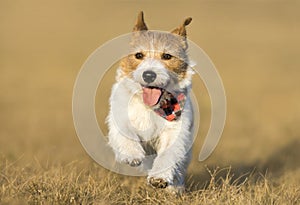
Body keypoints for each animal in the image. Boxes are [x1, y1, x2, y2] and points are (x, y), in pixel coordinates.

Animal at [105, 10, 195, 191]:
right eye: (139, 55)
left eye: (167, 56)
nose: (149, 74)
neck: (151, 107)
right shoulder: (121, 116)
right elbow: (125, 133)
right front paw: (132, 155)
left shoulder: (174, 130)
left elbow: (168, 154)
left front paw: (159, 178)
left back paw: (175, 187)